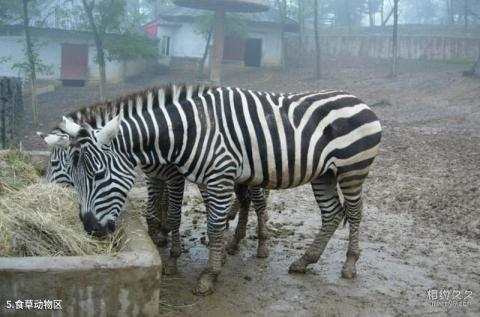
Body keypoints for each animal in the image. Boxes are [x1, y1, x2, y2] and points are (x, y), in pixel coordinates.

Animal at [50, 83, 382, 294]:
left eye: (97, 174)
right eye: (74, 175)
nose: (89, 229)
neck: (187, 132)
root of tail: (360, 100)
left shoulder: (213, 177)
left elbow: (206, 224)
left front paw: (207, 276)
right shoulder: (205, 179)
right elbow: (210, 222)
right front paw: (216, 258)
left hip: (353, 170)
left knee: (353, 213)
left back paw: (349, 264)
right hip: (324, 174)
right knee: (331, 214)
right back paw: (305, 261)